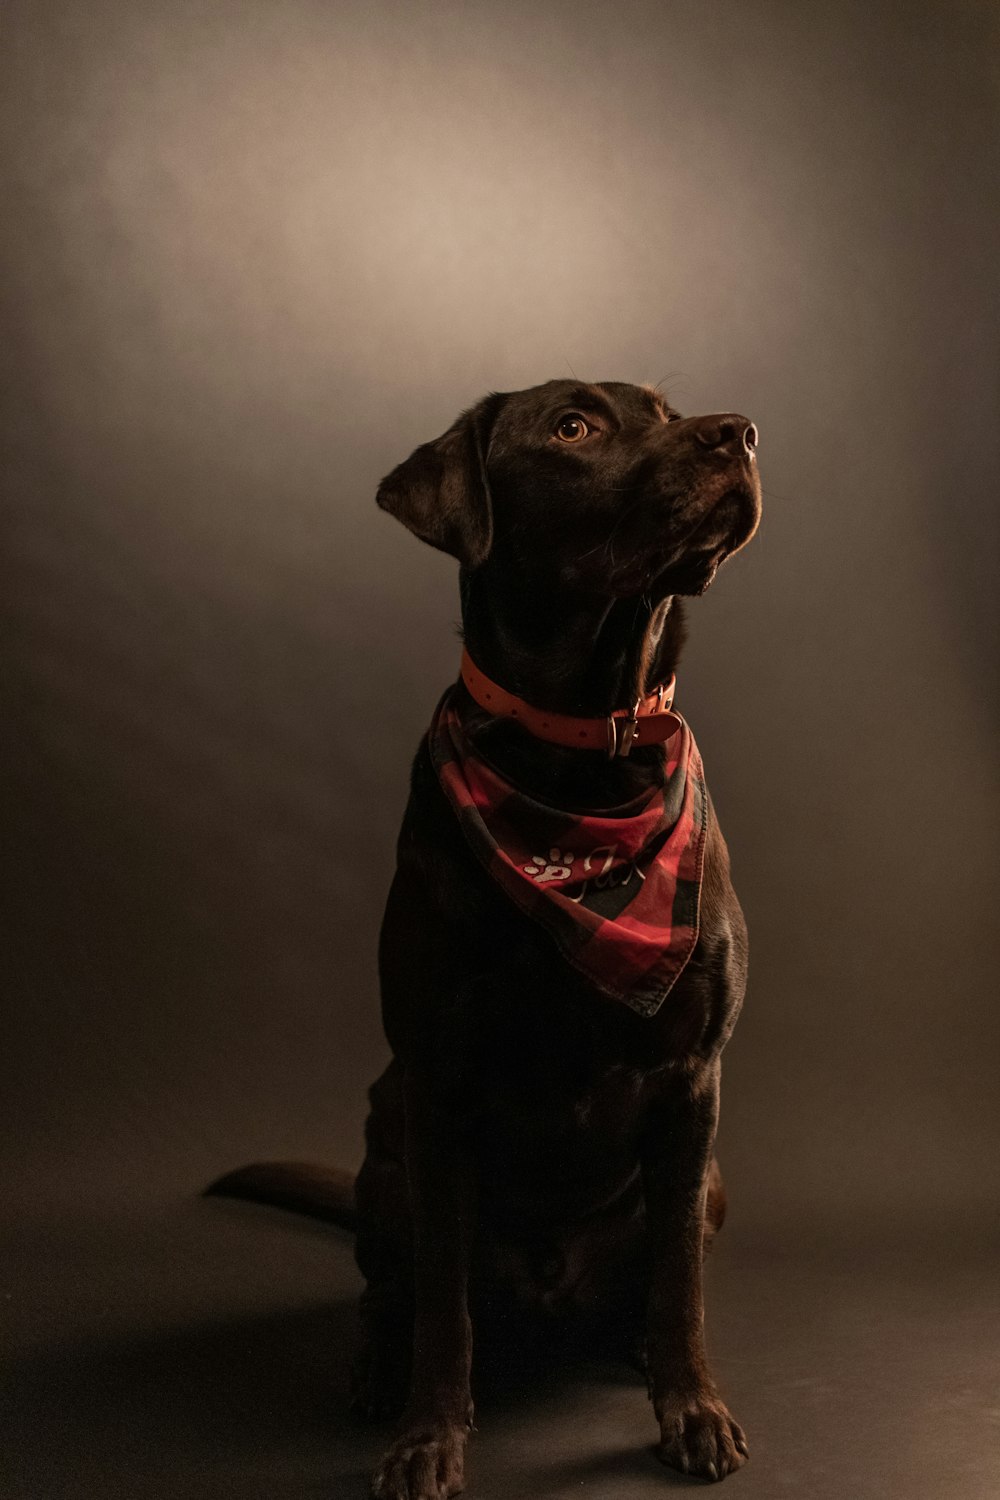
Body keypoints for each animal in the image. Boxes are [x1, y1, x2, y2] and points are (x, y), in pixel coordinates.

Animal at [209, 381, 758, 1494]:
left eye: (667, 408)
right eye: (573, 428)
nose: (738, 432)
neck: (582, 767)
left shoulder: (693, 1078)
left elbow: (679, 1285)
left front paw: (692, 1408)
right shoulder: (439, 1079)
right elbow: (444, 1310)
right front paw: (428, 1437)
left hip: (710, 1175)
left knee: (653, 1275)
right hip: (385, 1145)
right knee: (396, 1289)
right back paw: (378, 1366)